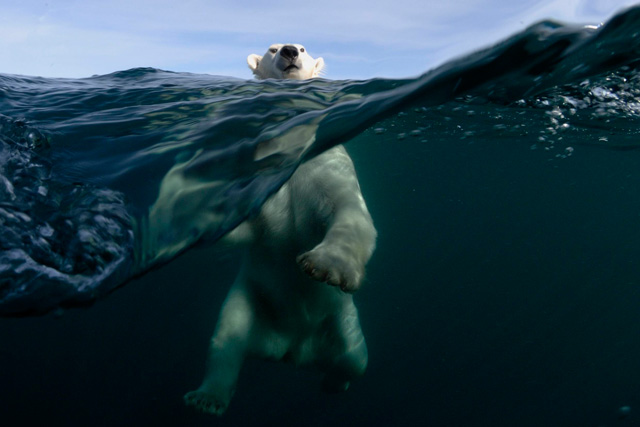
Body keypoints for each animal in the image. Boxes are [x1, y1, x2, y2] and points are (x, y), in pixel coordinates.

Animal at [182, 45, 376, 416]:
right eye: (272, 49)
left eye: (302, 49)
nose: (288, 51)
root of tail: (292, 349)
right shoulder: (259, 175)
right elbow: (244, 227)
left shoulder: (324, 164)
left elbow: (347, 209)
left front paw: (326, 265)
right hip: (249, 299)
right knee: (226, 340)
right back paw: (206, 398)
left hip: (341, 319)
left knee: (354, 358)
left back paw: (333, 382)